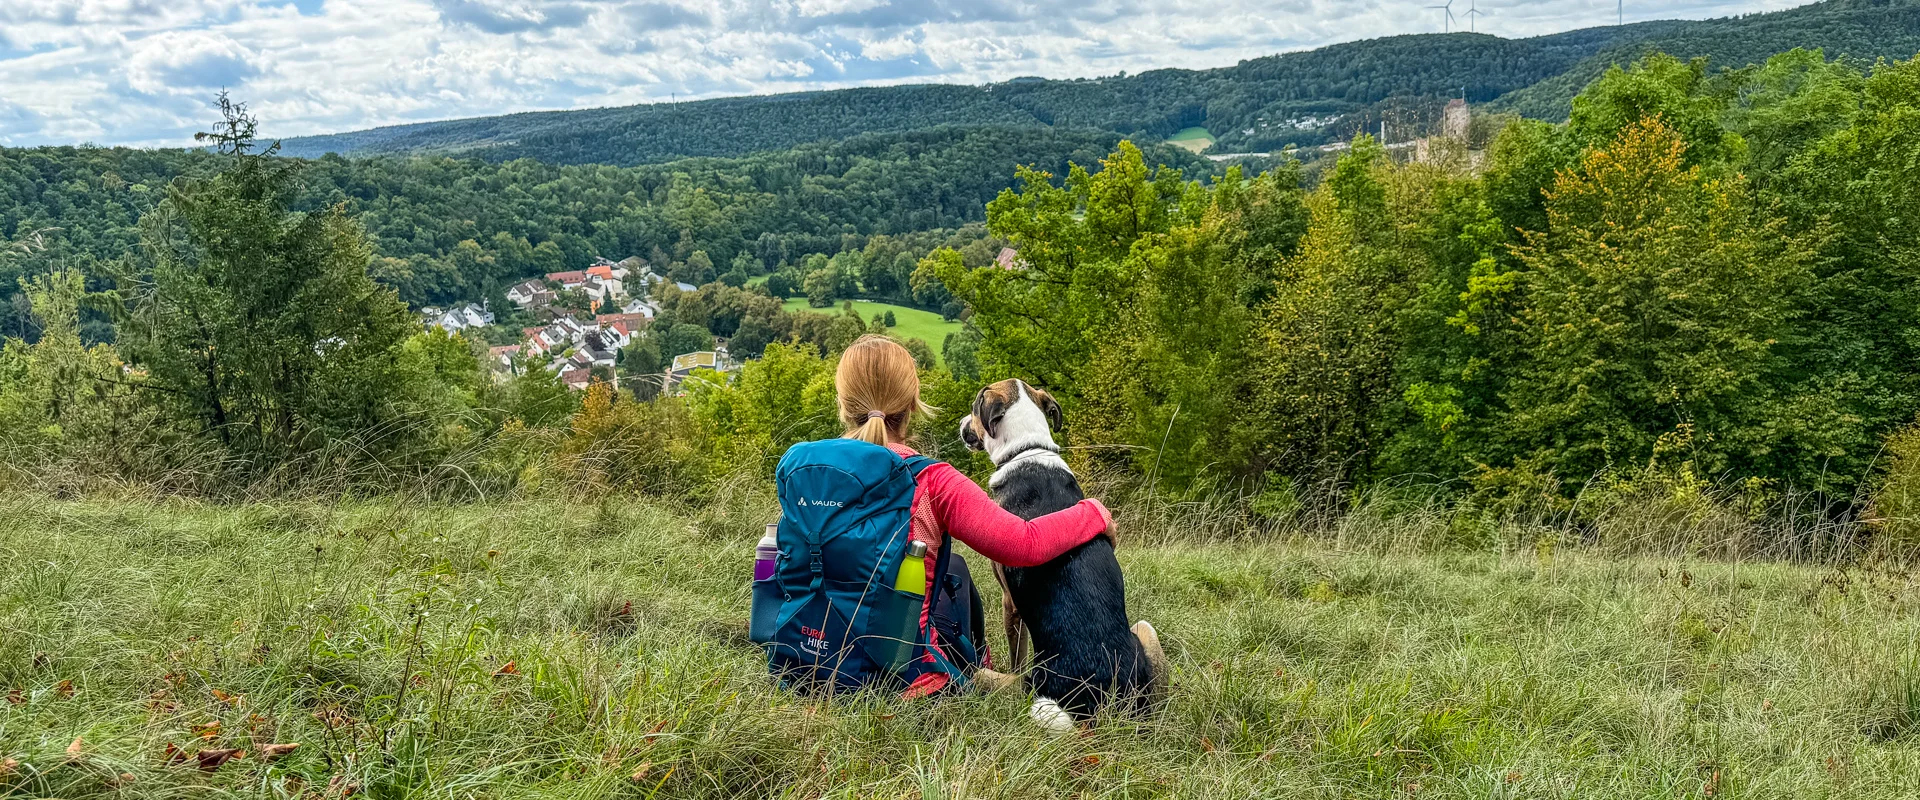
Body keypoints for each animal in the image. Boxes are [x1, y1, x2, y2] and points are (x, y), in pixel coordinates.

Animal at [960, 379, 1167, 729]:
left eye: (975, 406)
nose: (960, 424)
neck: (1026, 449)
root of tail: (1113, 705)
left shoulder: (1009, 603)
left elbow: (1016, 654)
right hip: (1144, 631)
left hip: (1027, 689)